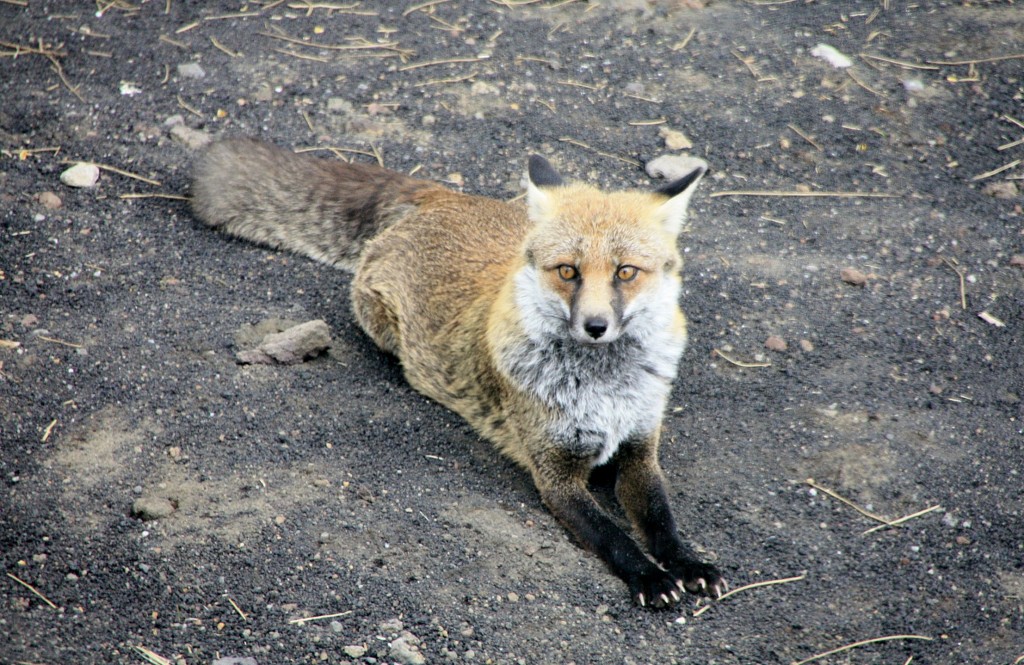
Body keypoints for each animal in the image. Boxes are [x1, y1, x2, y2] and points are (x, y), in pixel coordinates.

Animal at [192, 140, 729, 606]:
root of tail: (446, 197)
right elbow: (615, 536)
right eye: (568, 271)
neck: (607, 388)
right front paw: (649, 577)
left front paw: (689, 564)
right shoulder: (556, 474)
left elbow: (661, 520)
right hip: (379, 321)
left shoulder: (640, 448)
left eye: (625, 272)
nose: (595, 327)